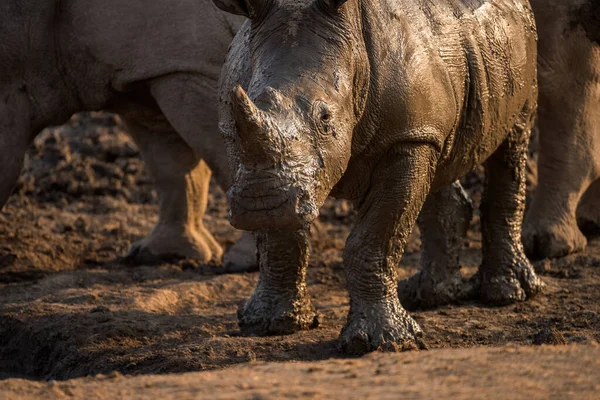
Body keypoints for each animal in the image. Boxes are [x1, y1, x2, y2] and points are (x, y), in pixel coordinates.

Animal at [0, 0, 255, 268]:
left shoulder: (186, 63)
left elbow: (226, 152)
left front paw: (245, 261)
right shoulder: (152, 72)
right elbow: (171, 165)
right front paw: (164, 254)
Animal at [216, 0, 544, 354]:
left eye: (325, 117)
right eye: (240, 106)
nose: (259, 203)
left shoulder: (406, 138)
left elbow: (375, 238)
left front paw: (381, 342)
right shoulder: (254, 159)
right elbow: (280, 236)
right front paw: (268, 323)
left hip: (521, 51)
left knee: (513, 139)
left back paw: (506, 294)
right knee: (439, 163)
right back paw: (430, 296)